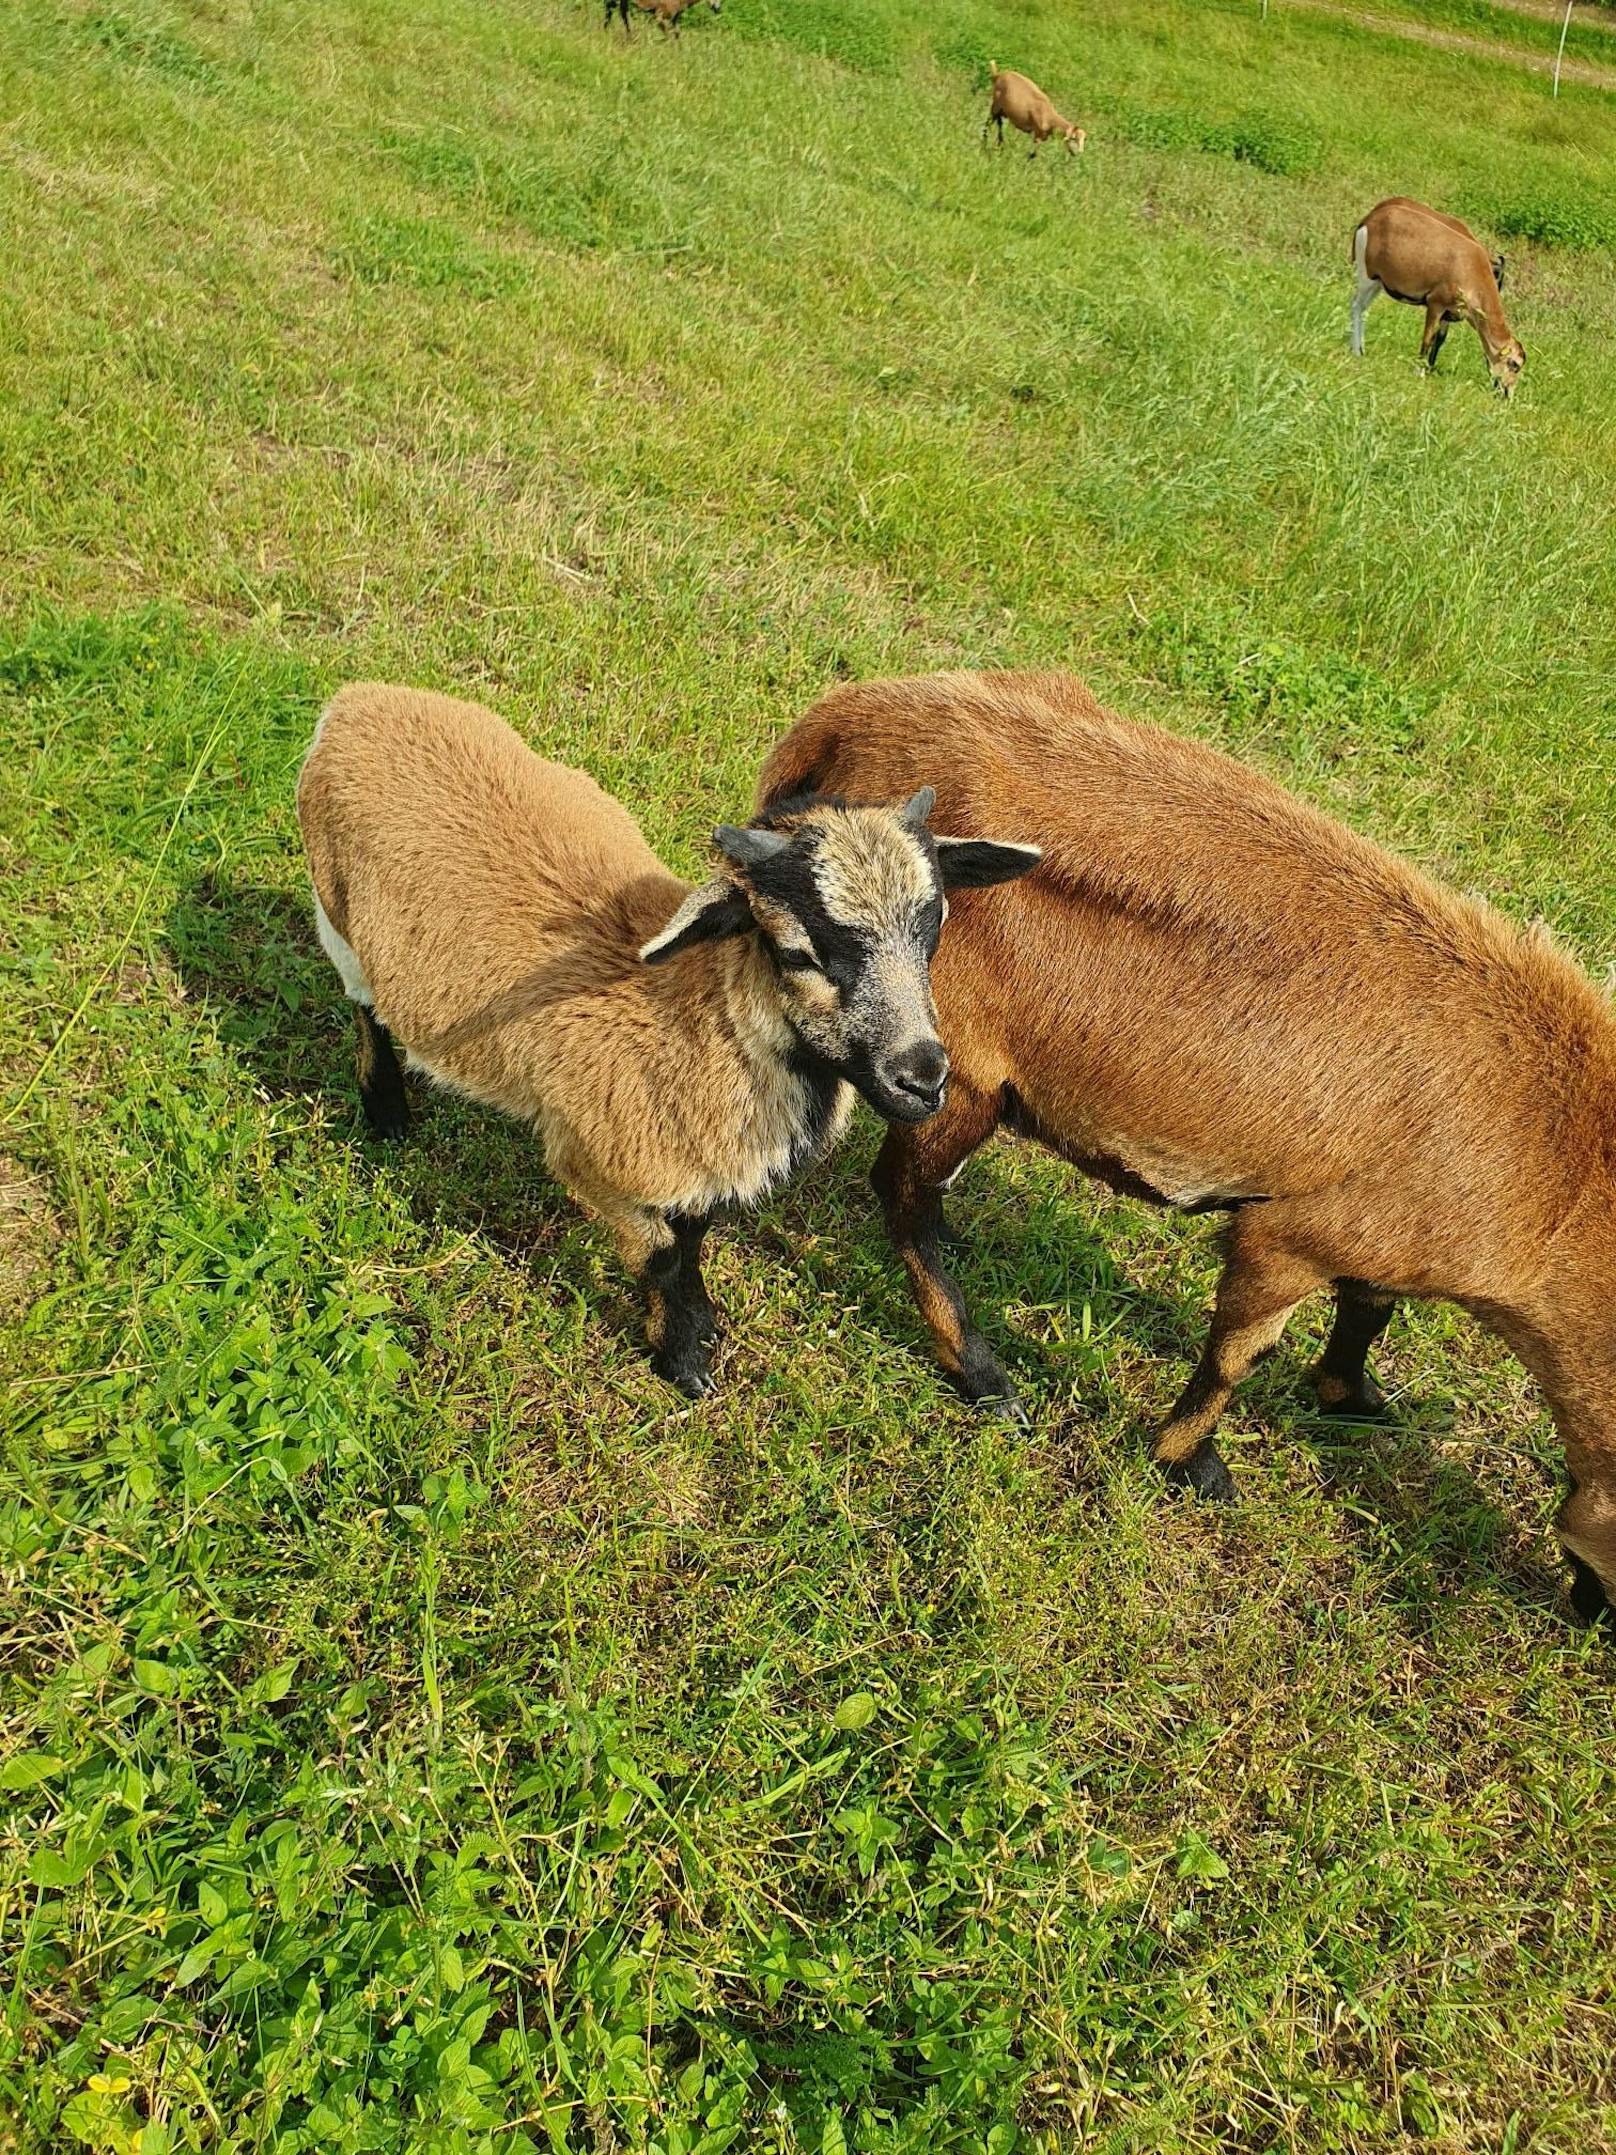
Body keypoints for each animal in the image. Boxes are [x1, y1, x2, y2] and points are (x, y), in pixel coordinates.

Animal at [301, 685, 1038, 1396]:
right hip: (335, 912)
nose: (924, 1078)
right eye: (798, 953)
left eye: (934, 931)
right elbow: (658, 1254)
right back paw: (387, 1112)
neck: (698, 1018)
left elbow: (690, 1239)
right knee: (366, 1008)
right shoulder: (591, 1161)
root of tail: (359, 698)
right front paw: (682, 1361)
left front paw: (702, 1319)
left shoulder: (695, 1162)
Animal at [767, 668, 1616, 1620]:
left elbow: (1369, 1309)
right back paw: (984, 1376)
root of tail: (846, 721)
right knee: (903, 1196)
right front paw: (1192, 1463)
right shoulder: (1286, 1233)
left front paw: (1354, 1396)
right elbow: (1237, 1355)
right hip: (951, 1065)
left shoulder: (1375, 1230)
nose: (1591, 1620)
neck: (1564, 1172)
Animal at [1361, 196, 1525, 398]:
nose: (1507, 393)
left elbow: (1440, 339)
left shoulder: (1449, 312)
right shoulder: (1436, 304)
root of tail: (1376, 210)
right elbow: (1429, 338)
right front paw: (1422, 369)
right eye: (1514, 364)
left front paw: (1430, 367)